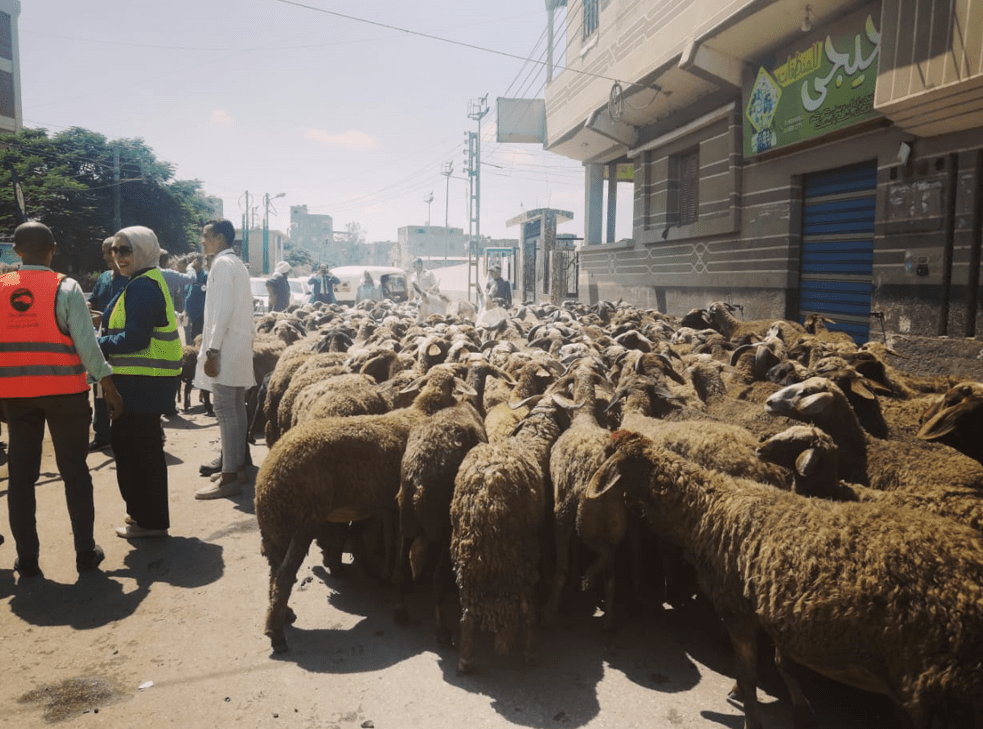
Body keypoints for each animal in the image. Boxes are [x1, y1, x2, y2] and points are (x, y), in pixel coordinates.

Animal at [256, 366, 474, 652]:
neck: (420, 412)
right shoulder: (394, 507)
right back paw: (276, 635)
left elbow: (388, 541)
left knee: (274, 571)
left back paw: (284, 615)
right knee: (283, 575)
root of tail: (264, 484)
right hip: (302, 524)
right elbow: (394, 544)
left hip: (276, 530)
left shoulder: (387, 506)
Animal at [450, 384, 572, 672]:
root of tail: (485, 493)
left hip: (466, 560)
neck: (532, 441)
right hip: (520, 557)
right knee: (526, 609)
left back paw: (465, 660)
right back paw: (531, 652)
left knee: (467, 615)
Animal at [588, 432, 983, 728]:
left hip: (942, 694)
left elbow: (751, 675)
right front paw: (798, 707)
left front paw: (752, 716)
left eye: (608, 452)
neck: (707, 512)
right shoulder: (776, 612)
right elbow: (782, 663)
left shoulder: (737, 608)